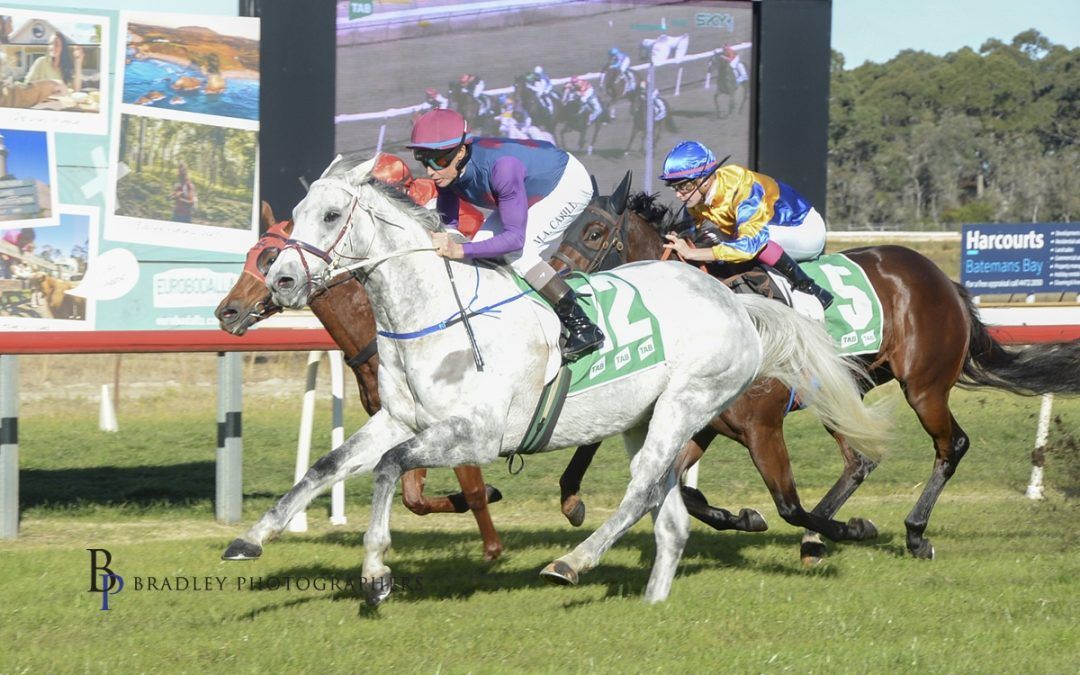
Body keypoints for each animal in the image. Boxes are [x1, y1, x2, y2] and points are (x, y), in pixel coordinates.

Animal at [217, 203, 507, 561]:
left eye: (270, 258)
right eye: (250, 254)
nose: (226, 312)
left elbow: (474, 488)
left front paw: (492, 546)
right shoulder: (399, 421)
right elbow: (413, 497)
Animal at [552, 176, 1075, 561]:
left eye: (594, 233)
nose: (557, 285)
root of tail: (945, 282)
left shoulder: (762, 427)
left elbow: (787, 505)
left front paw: (851, 528)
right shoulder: (708, 422)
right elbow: (683, 490)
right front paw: (746, 517)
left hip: (923, 387)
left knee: (951, 446)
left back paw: (912, 532)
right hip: (843, 391)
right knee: (859, 462)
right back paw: (822, 539)